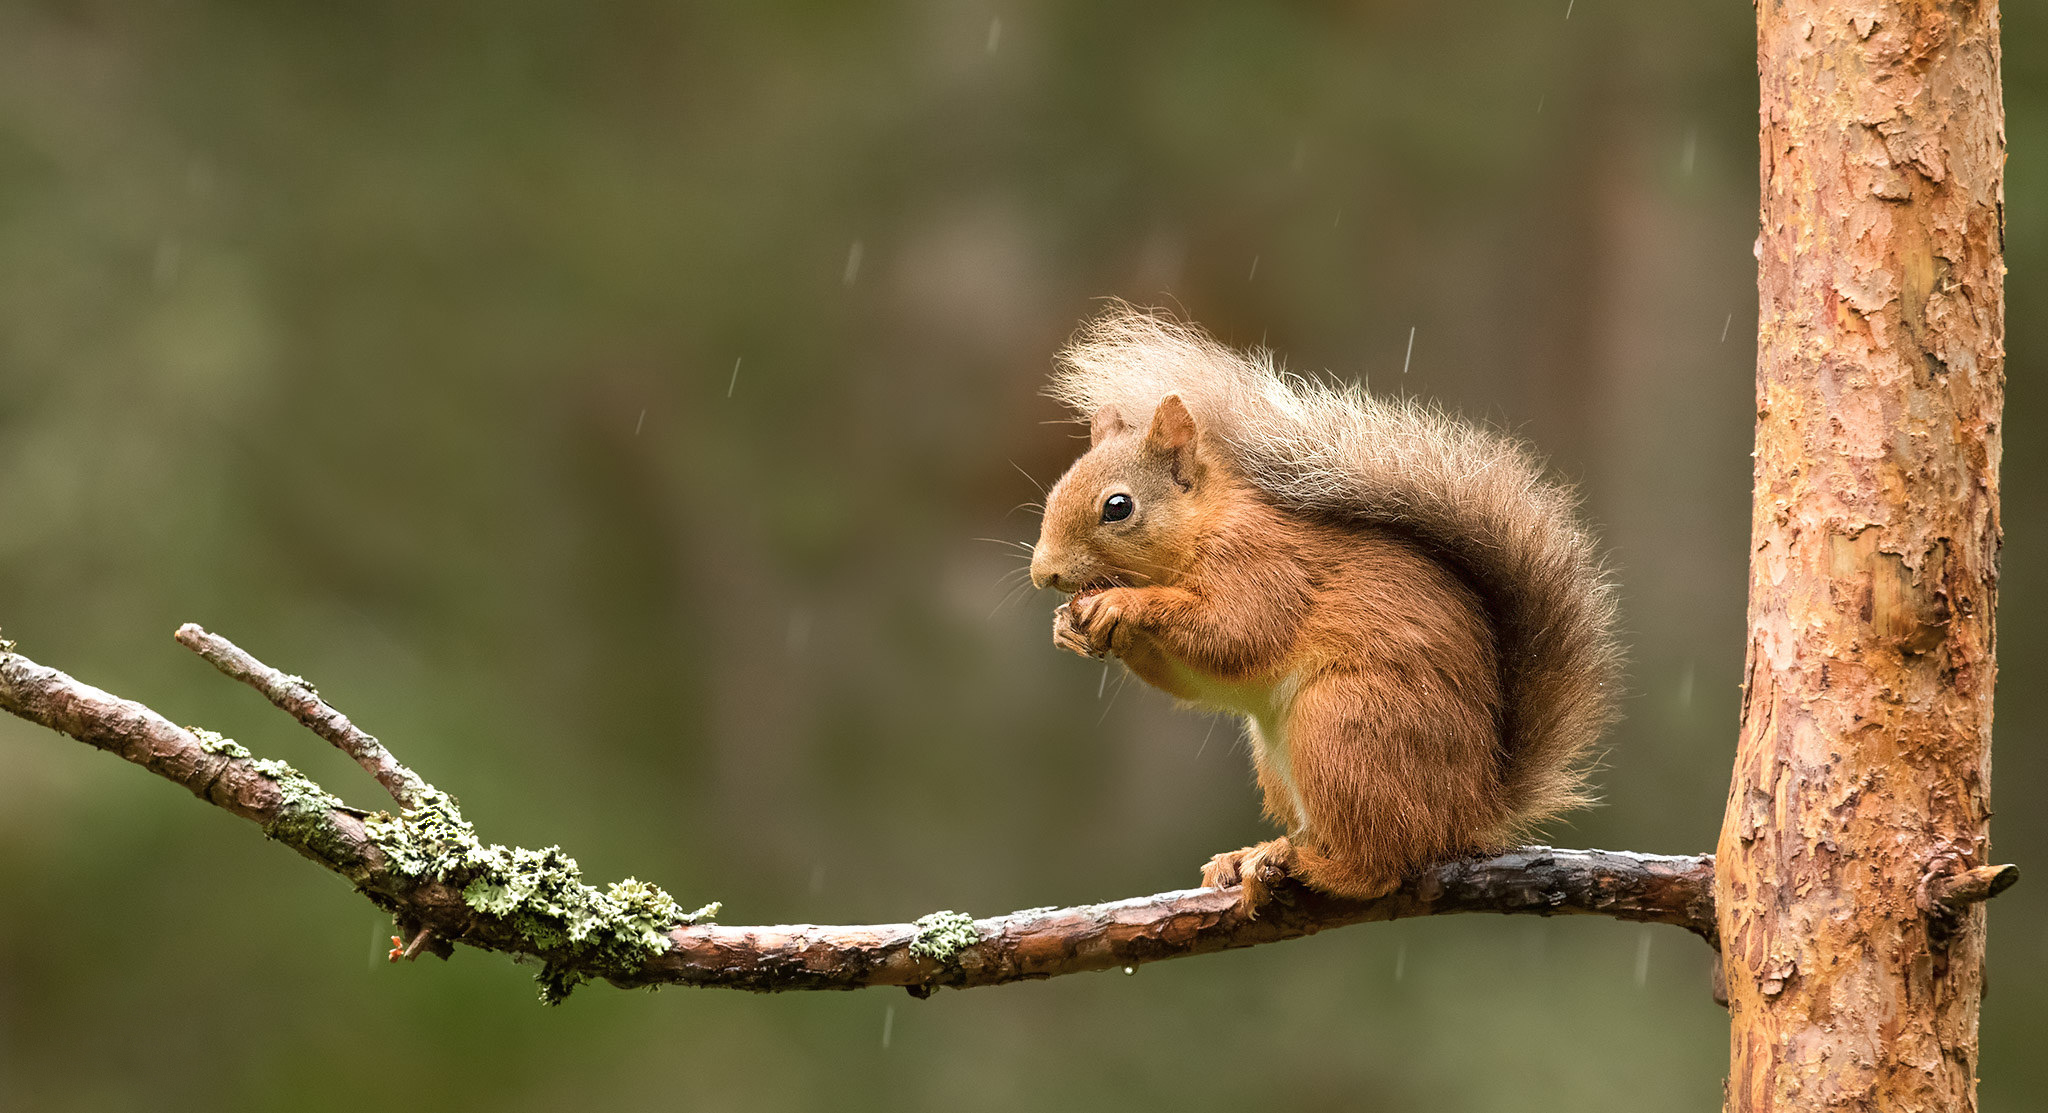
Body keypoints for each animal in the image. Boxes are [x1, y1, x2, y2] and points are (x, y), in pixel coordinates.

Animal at [1032, 309, 1622, 918]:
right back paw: (1255, 856)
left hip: (1344, 725)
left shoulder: (1263, 567)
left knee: (1379, 866)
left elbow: (1234, 633)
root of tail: (1469, 815)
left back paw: (1312, 866)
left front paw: (1124, 603)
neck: (1205, 526)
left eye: (1117, 507)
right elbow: (1197, 679)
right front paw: (1068, 627)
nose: (1042, 574)